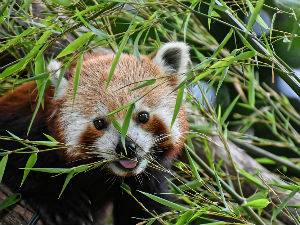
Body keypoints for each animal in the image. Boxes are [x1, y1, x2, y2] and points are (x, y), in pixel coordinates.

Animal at [0, 41, 189, 223]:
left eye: (143, 116)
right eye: (99, 123)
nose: (126, 147)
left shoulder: (150, 179)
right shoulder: (25, 128)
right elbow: (20, 167)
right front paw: (62, 203)